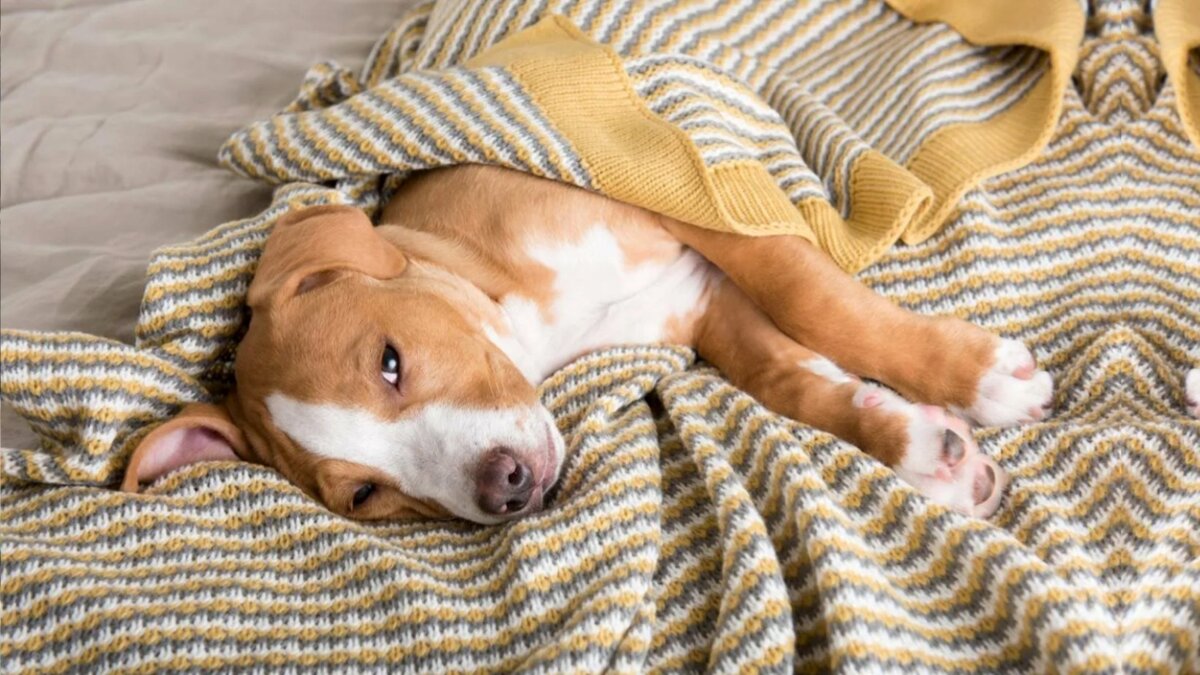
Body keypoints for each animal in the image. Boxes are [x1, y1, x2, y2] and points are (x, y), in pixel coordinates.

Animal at [121, 165, 1054, 522]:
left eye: (390, 361)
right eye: (362, 495)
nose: (506, 487)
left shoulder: (700, 203)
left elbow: (820, 302)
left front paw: (977, 377)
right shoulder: (705, 304)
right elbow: (789, 377)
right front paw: (919, 448)